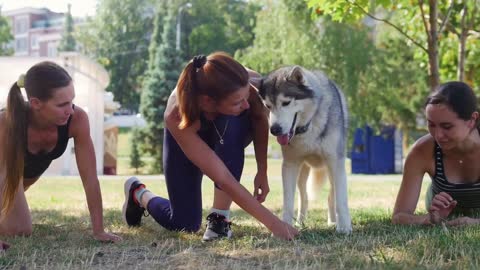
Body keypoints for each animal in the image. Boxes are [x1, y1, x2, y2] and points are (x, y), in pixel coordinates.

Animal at [258, 66, 352, 234]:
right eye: (268, 106)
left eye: (286, 103)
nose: (274, 130)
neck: (308, 126)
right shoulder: (289, 165)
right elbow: (288, 202)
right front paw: (285, 227)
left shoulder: (336, 162)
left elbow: (341, 200)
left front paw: (345, 228)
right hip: (302, 173)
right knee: (304, 197)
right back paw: (300, 222)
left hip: (331, 171)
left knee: (331, 196)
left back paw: (333, 221)